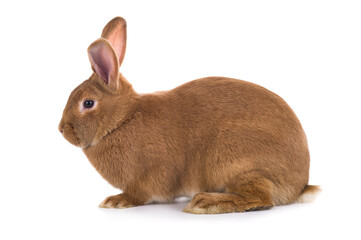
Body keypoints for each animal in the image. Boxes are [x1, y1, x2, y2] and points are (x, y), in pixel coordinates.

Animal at [58, 16, 318, 214]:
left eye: (88, 103)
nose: (61, 129)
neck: (122, 120)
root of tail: (300, 184)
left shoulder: (148, 177)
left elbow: (140, 194)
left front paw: (116, 200)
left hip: (234, 156)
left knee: (261, 197)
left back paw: (205, 203)